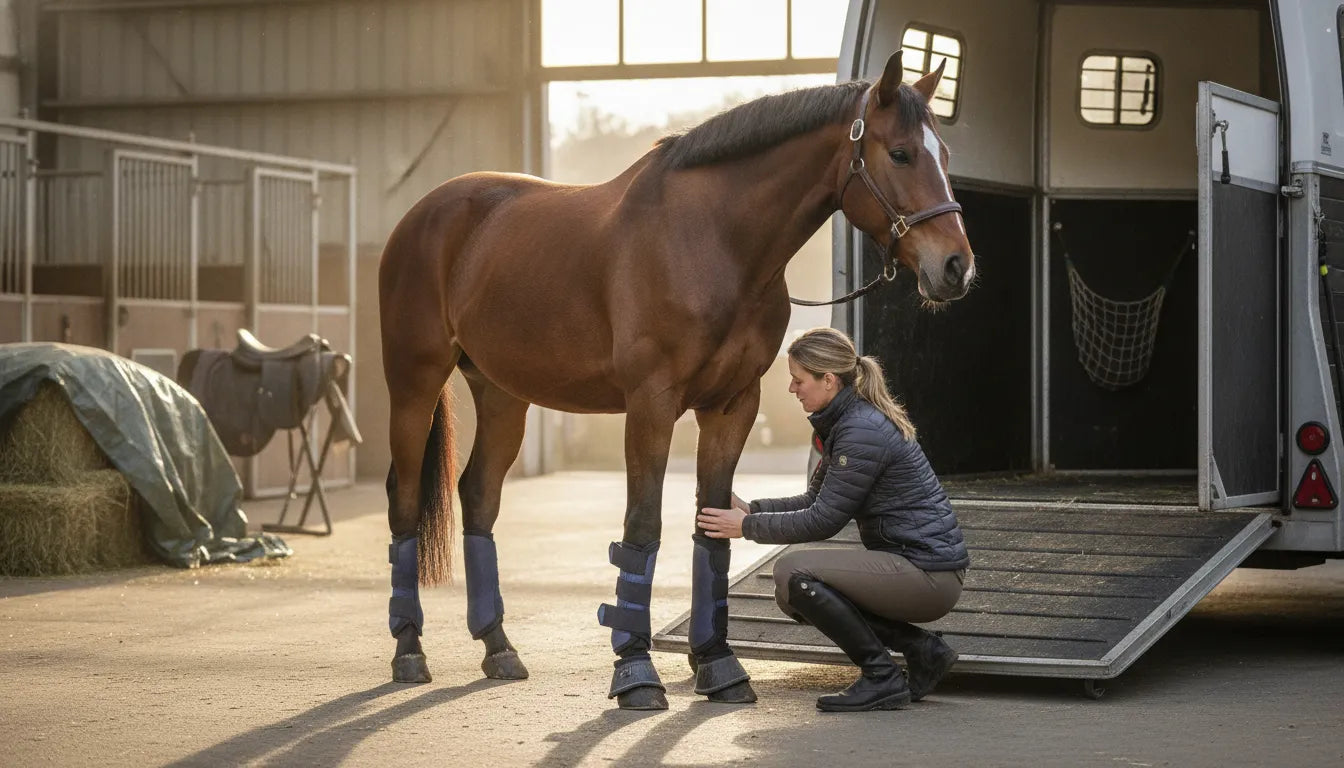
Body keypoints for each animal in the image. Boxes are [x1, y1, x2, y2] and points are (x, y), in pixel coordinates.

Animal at [377, 50, 975, 711]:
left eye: (946, 155)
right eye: (900, 153)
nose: (955, 266)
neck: (713, 241)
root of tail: (424, 214)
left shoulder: (733, 405)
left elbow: (712, 528)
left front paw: (718, 664)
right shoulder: (651, 405)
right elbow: (643, 527)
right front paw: (635, 672)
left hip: (503, 393)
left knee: (479, 496)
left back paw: (498, 647)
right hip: (413, 384)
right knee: (405, 501)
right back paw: (409, 651)